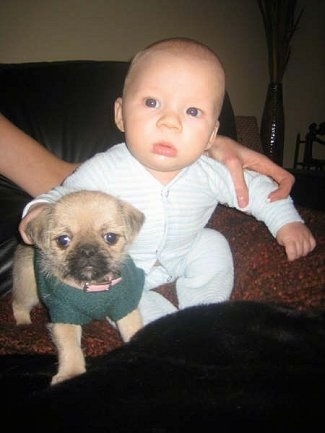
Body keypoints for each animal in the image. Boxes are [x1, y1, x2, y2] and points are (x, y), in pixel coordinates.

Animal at [12, 191, 144, 384]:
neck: (92, 286)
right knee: (17, 304)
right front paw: (70, 373)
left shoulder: (124, 308)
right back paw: (23, 323)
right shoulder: (65, 317)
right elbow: (71, 348)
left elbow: (134, 331)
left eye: (110, 238)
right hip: (29, 291)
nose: (87, 251)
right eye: (63, 240)